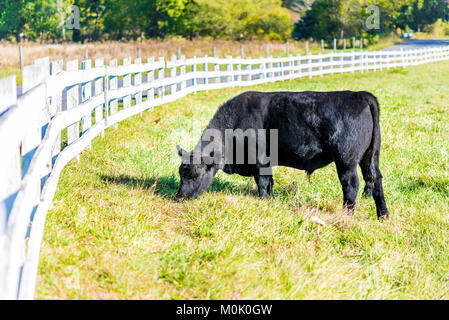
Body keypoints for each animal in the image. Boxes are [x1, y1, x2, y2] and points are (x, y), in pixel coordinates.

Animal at [174, 91, 388, 219]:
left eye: (195, 175)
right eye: (180, 174)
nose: (179, 198)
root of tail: (360, 95)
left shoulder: (259, 162)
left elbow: (262, 184)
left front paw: (262, 202)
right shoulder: (267, 164)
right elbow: (270, 184)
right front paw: (270, 200)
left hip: (346, 160)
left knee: (351, 185)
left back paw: (346, 215)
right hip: (370, 157)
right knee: (375, 179)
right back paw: (383, 214)